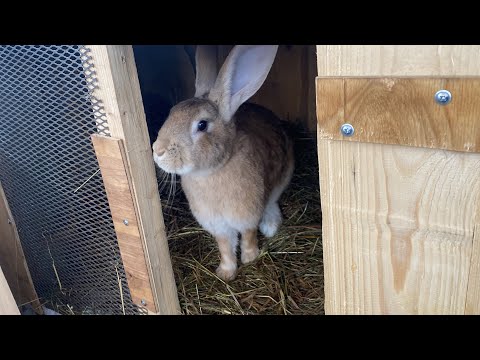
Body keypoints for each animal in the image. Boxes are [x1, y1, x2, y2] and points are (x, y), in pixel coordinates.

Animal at [152, 45, 294, 282]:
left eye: (202, 125)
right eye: (172, 113)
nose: (157, 150)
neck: (212, 171)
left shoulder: (247, 216)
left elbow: (248, 236)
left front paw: (250, 258)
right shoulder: (217, 225)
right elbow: (225, 247)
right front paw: (225, 273)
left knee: (273, 201)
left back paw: (270, 225)